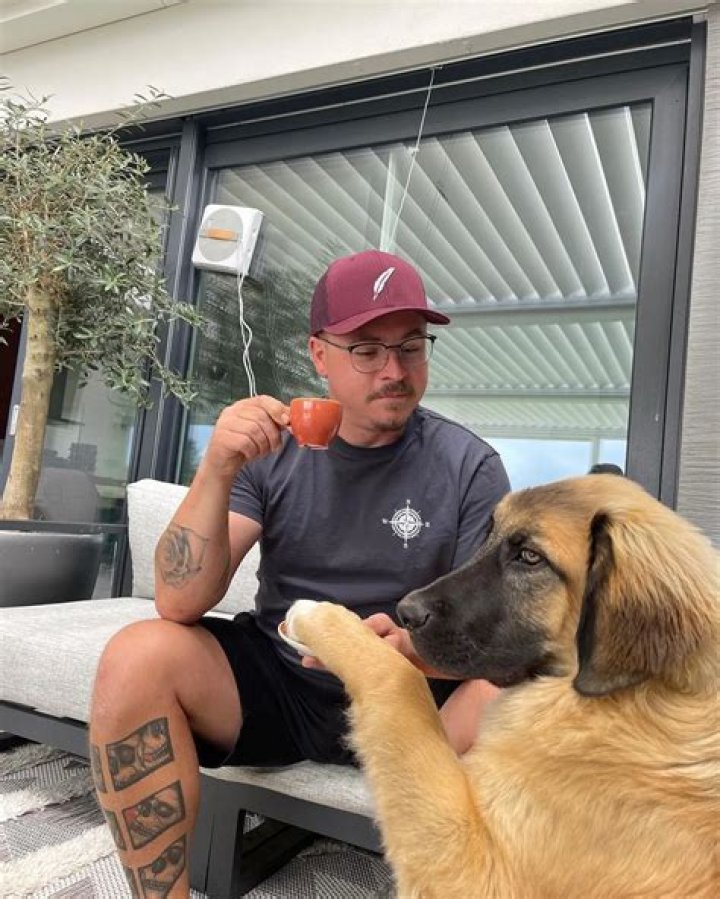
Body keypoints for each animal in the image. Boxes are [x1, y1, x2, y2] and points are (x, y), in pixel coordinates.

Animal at [287, 474, 720, 898]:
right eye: (490, 536)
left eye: (529, 558)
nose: (405, 613)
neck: (637, 693)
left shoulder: (476, 870)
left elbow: (399, 678)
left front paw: (320, 617)